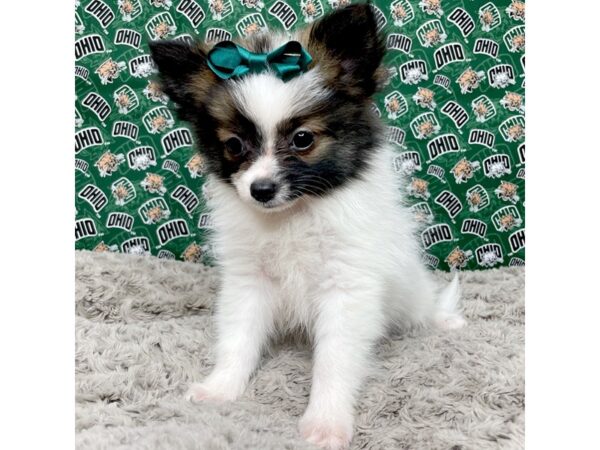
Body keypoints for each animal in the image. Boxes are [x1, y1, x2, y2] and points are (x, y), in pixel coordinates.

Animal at [150, 4, 464, 450]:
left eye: (302, 139)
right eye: (234, 146)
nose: (260, 190)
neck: (294, 214)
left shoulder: (346, 286)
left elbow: (334, 360)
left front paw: (326, 422)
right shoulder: (249, 280)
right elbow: (238, 338)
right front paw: (220, 389)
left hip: (411, 291)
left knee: (423, 309)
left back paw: (442, 320)